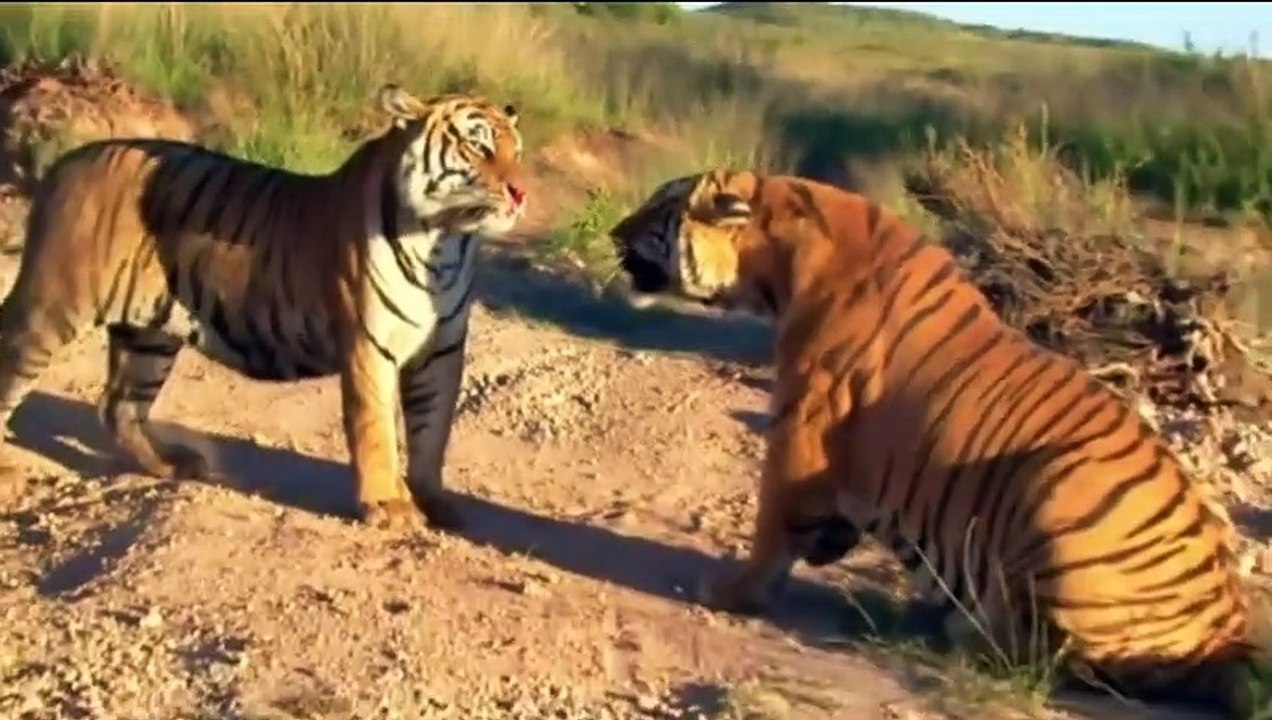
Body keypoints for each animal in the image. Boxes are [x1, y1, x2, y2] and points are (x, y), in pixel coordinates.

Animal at [0, 84, 528, 532]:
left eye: (516, 153)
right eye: (478, 147)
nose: (521, 192)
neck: (446, 243)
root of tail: (68, 159)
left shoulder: (441, 351)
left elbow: (432, 431)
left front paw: (434, 501)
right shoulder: (369, 344)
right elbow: (376, 429)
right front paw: (389, 506)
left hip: (150, 332)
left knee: (119, 405)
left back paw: (173, 462)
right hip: (52, 310)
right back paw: (8, 475)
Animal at [608, 167, 1272, 718]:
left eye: (661, 208)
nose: (614, 230)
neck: (777, 260)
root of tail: (1226, 630)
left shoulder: (801, 433)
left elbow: (772, 528)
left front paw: (731, 593)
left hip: (1053, 485)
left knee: (1055, 658)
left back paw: (967, 630)